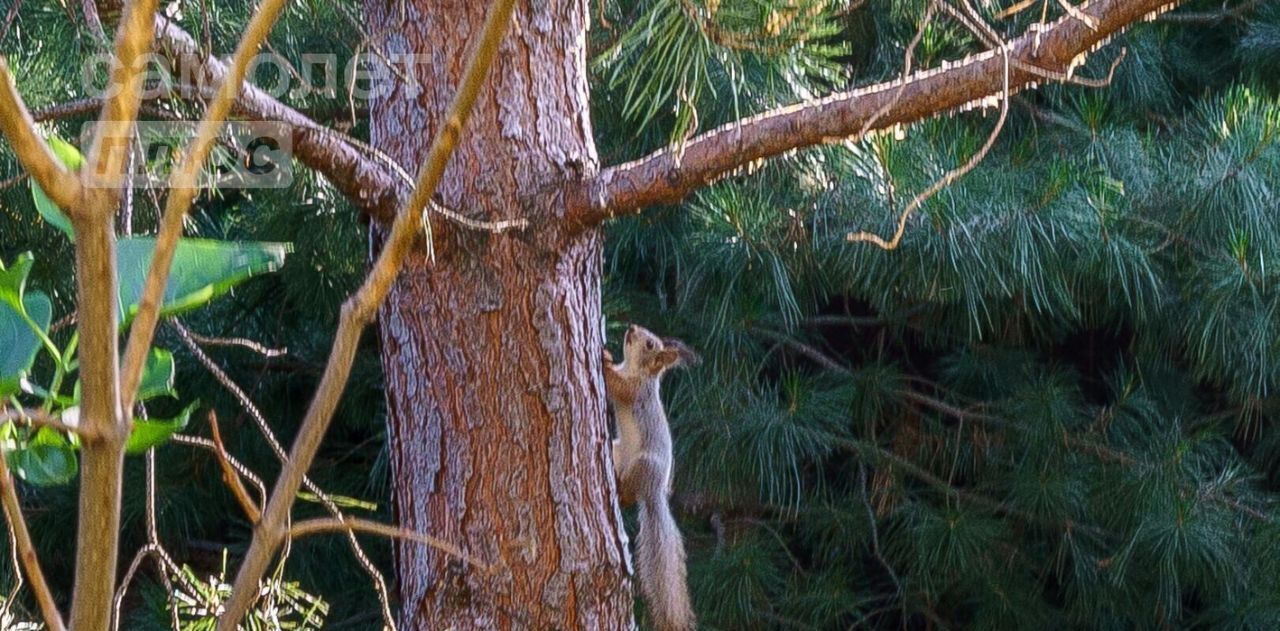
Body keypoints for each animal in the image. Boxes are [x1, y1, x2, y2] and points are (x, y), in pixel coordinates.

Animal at [601, 325, 701, 629]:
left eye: (649, 344)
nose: (631, 327)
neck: (634, 369)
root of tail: (655, 491)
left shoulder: (636, 392)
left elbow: (619, 388)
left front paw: (604, 364)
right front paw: (608, 356)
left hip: (643, 465)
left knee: (629, 496)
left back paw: (620, 488)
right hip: (618, 451)